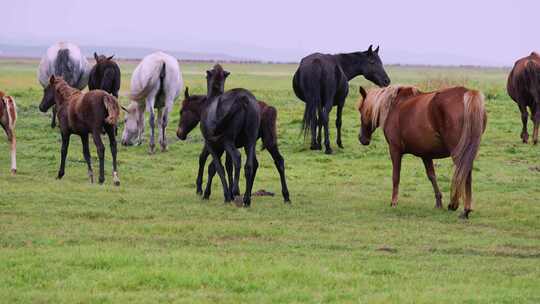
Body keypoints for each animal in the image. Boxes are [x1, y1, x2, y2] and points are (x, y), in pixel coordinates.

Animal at [200, 64, 262, 207]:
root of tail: (243, 97)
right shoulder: (223, 148)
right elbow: (226, 166)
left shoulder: (212, 145)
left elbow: (218, 168)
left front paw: (226, 195)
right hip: (250, 140)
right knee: (249, 165)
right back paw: (246, 199)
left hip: (228, 140)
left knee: (237, 158)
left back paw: (234, 191)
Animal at [356, 85, 488, 218]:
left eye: (361, 110)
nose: (362, 138)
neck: (394, 106)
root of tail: (467, 93)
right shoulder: (426, 155)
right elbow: (432, 176)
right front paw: (439, 202)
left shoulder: (395, 150)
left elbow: (396, 176)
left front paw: (394, 202)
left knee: (464, 175)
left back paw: (464, 209)